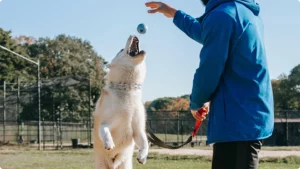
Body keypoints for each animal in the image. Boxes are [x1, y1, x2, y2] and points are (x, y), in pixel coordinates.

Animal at [94, 35, 149, 168]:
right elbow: (103, 129)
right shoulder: (106, 122)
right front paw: (109, 143)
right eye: (120, 49)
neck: (127, 89)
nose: (133, 35)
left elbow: (145, 142)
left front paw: (142, 156)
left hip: (125, 164)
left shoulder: (138, 129)